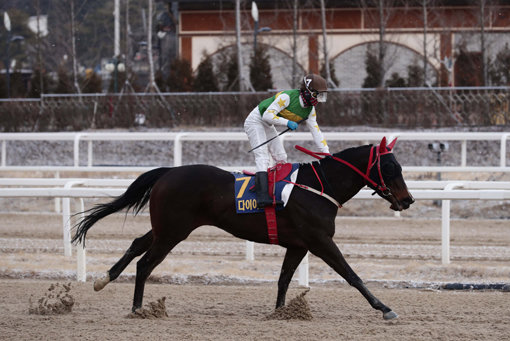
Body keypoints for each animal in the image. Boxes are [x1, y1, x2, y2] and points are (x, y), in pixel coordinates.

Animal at [71, 135, 414, 318]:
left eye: (399, 166)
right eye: (389, 167)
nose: (407, 199)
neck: (318, 188)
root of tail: (168, 172)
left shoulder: (298, 245)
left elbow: (283, 279)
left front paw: (280, 312)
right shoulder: (319, 241)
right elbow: (352, 275)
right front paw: (384, 307)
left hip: (166, 227)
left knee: (136, 244)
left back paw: (104, 279)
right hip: (173, 232)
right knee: (145, 264)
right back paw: (138, 309)